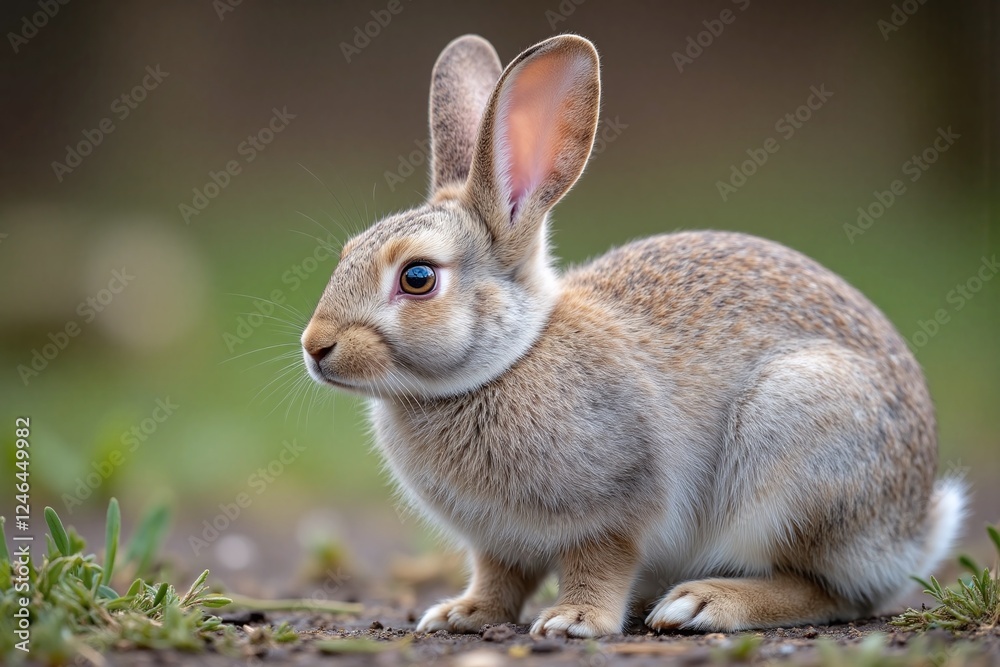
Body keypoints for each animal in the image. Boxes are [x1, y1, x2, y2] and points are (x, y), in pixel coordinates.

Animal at [301, 33, 967, 637]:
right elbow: (499, 578)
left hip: (797, 448)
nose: (315, 347)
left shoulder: (616, 507)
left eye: (417, 277)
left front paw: (574, 621)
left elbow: (600, 563)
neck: (506, 362)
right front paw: (461, 615)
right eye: (345, 254)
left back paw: (700, 604)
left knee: (830, 591)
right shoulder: (499, 543)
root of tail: (913, 528)